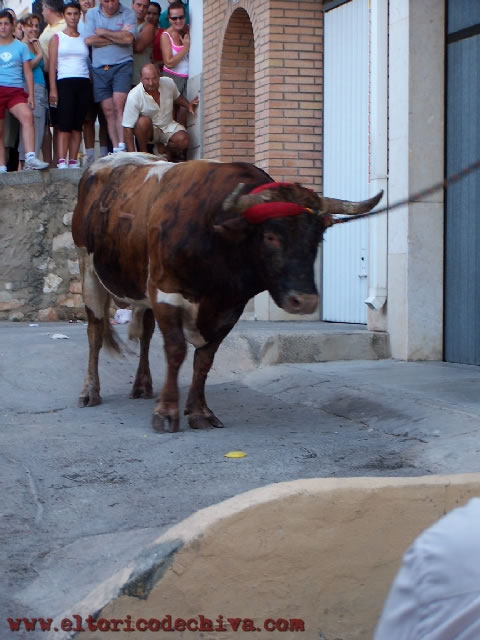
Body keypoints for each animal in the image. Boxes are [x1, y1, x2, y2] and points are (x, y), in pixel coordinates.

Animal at [72, 153, 382, 433]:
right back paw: (90, 391)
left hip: (139, 288)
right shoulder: (165, 292)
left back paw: (142, 385)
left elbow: (204, 360)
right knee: (95, 334)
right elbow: (176, 351)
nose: (304, 301)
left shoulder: (230, 307)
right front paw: (167, 412)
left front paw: (199, 412)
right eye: (270, 236)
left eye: (317, 238)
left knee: (145, 333)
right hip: (88, 271)